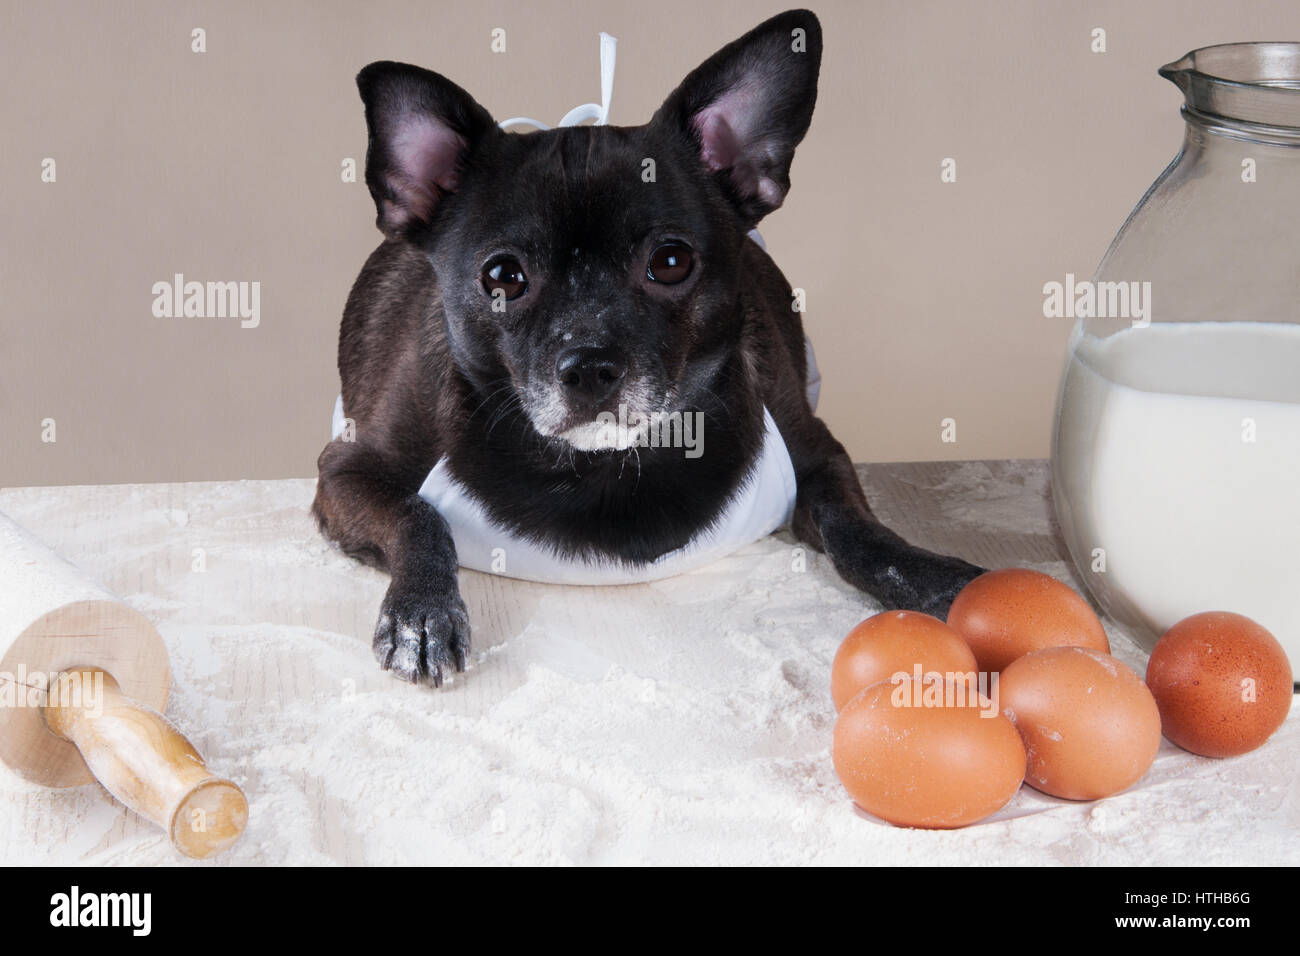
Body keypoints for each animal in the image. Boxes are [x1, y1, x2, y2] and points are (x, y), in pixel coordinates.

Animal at [314, 7, 982, 686]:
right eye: (502, 277)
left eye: (671, 261)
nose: (589, 365)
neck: (603, 466)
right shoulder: (346, 473)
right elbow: (418, 515)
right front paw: (421, 612)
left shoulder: (821, 455)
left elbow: (859, 531)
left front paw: (935, 578)